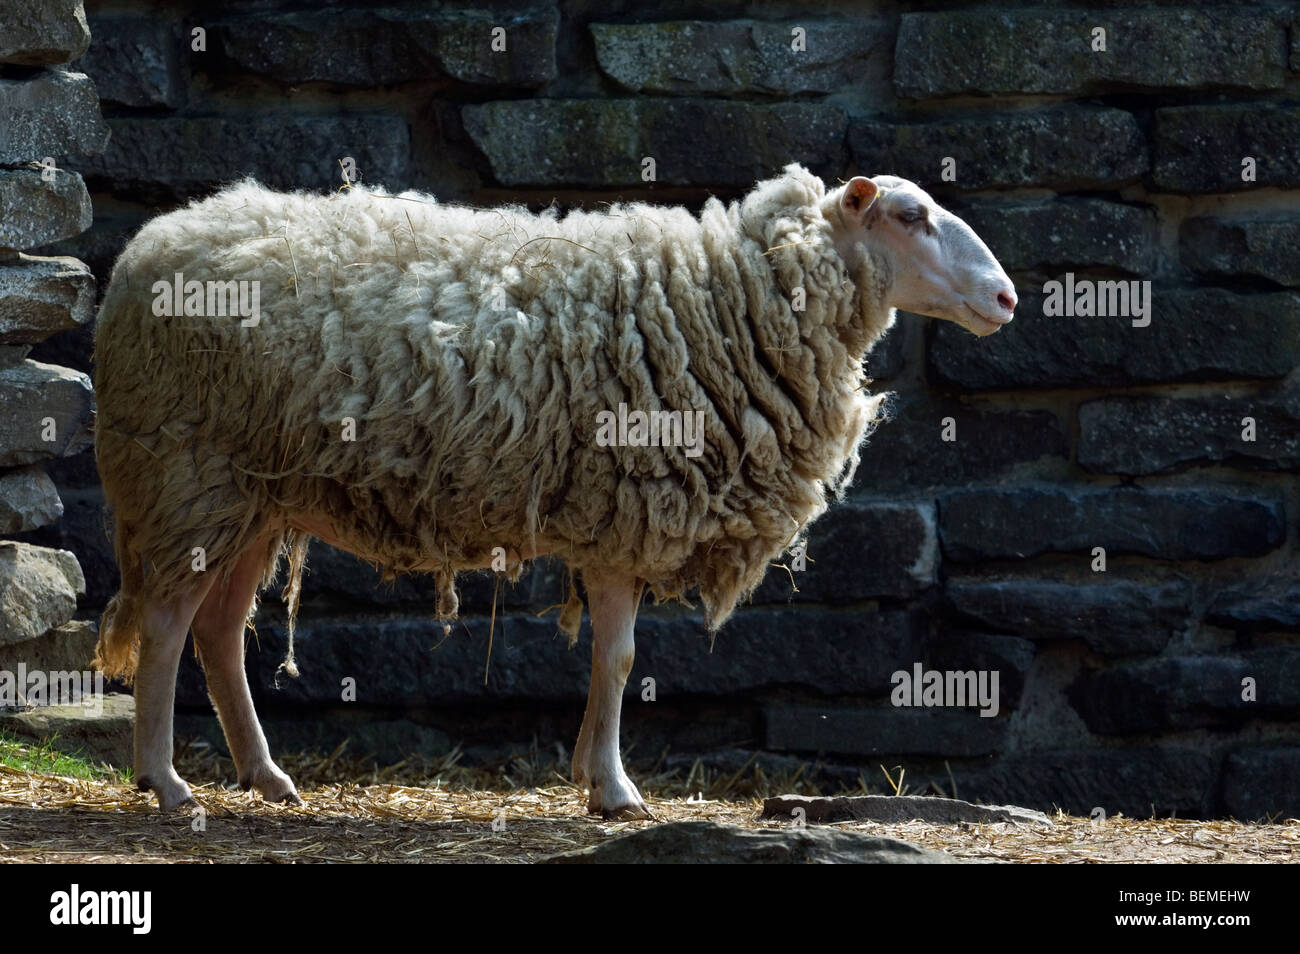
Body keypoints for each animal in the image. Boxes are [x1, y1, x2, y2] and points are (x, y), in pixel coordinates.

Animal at [96, 166, 1019, 821]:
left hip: (252, 495)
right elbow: (620, 658)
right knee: (169, 627)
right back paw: (164, 781)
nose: (1008, 296)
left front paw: (588, 772)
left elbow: (612, 659)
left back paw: (265, 776)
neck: (736, 298)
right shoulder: (626, 512)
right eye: (910, 216)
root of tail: (148, 249)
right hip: (189, 473)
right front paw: (612, 788)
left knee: (217, 633)